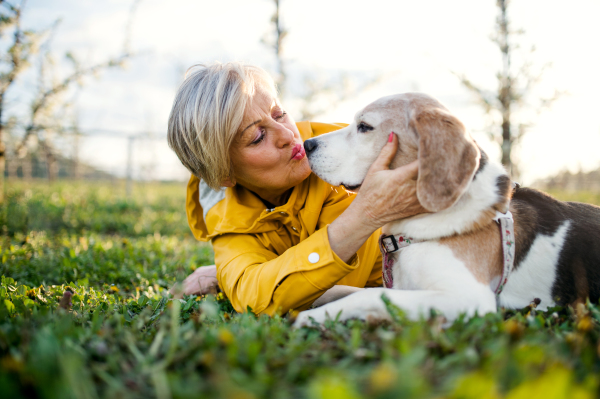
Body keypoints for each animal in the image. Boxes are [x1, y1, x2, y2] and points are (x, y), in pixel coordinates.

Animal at [292, 93, 600, 328]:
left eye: (365, 126)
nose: (307, 144)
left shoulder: (467, 297)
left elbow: (367, 296)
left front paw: (314, 316)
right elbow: (345, 290)